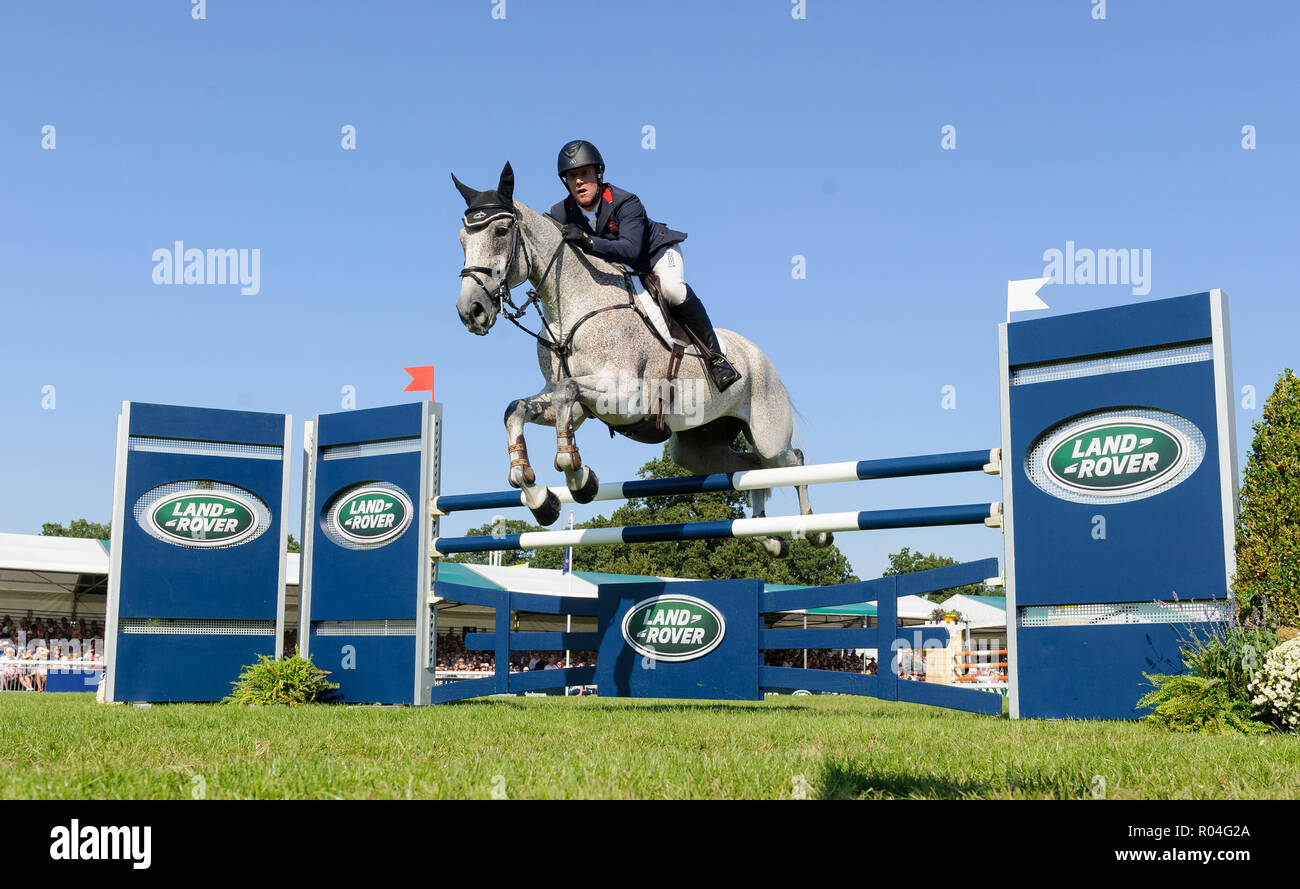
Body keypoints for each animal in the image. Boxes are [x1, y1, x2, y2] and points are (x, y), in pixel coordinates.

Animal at [452, 161, 826, 556]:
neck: (571, 309)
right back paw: (769, 537)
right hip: (696, 449)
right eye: (462, 239)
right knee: (752, 468)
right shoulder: (571, 404)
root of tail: (761, 359)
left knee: (792, 461)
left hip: (768, 433)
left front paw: (578, 477)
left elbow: (567, 392)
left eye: (501, 230)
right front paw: (539, 496)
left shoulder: (626, 399)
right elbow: (518, 409)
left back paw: (814, 530)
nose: (470, 311)